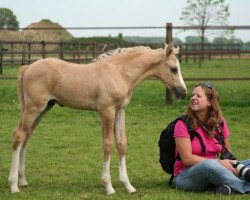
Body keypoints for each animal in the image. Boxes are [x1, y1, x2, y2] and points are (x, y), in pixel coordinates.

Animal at [8, 43, 187, 195]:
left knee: (26, 137)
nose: (183, 92)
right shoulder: (106, 111)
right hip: (33, 108)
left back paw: (22, 181)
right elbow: (107, 144)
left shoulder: (120, 111)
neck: (119, 73)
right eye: (174, 69)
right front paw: (109, 186)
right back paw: (14, 185)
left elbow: (121, 144)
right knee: (19, 136)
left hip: (44, 108)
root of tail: (28, 67)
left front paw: (128, 185)